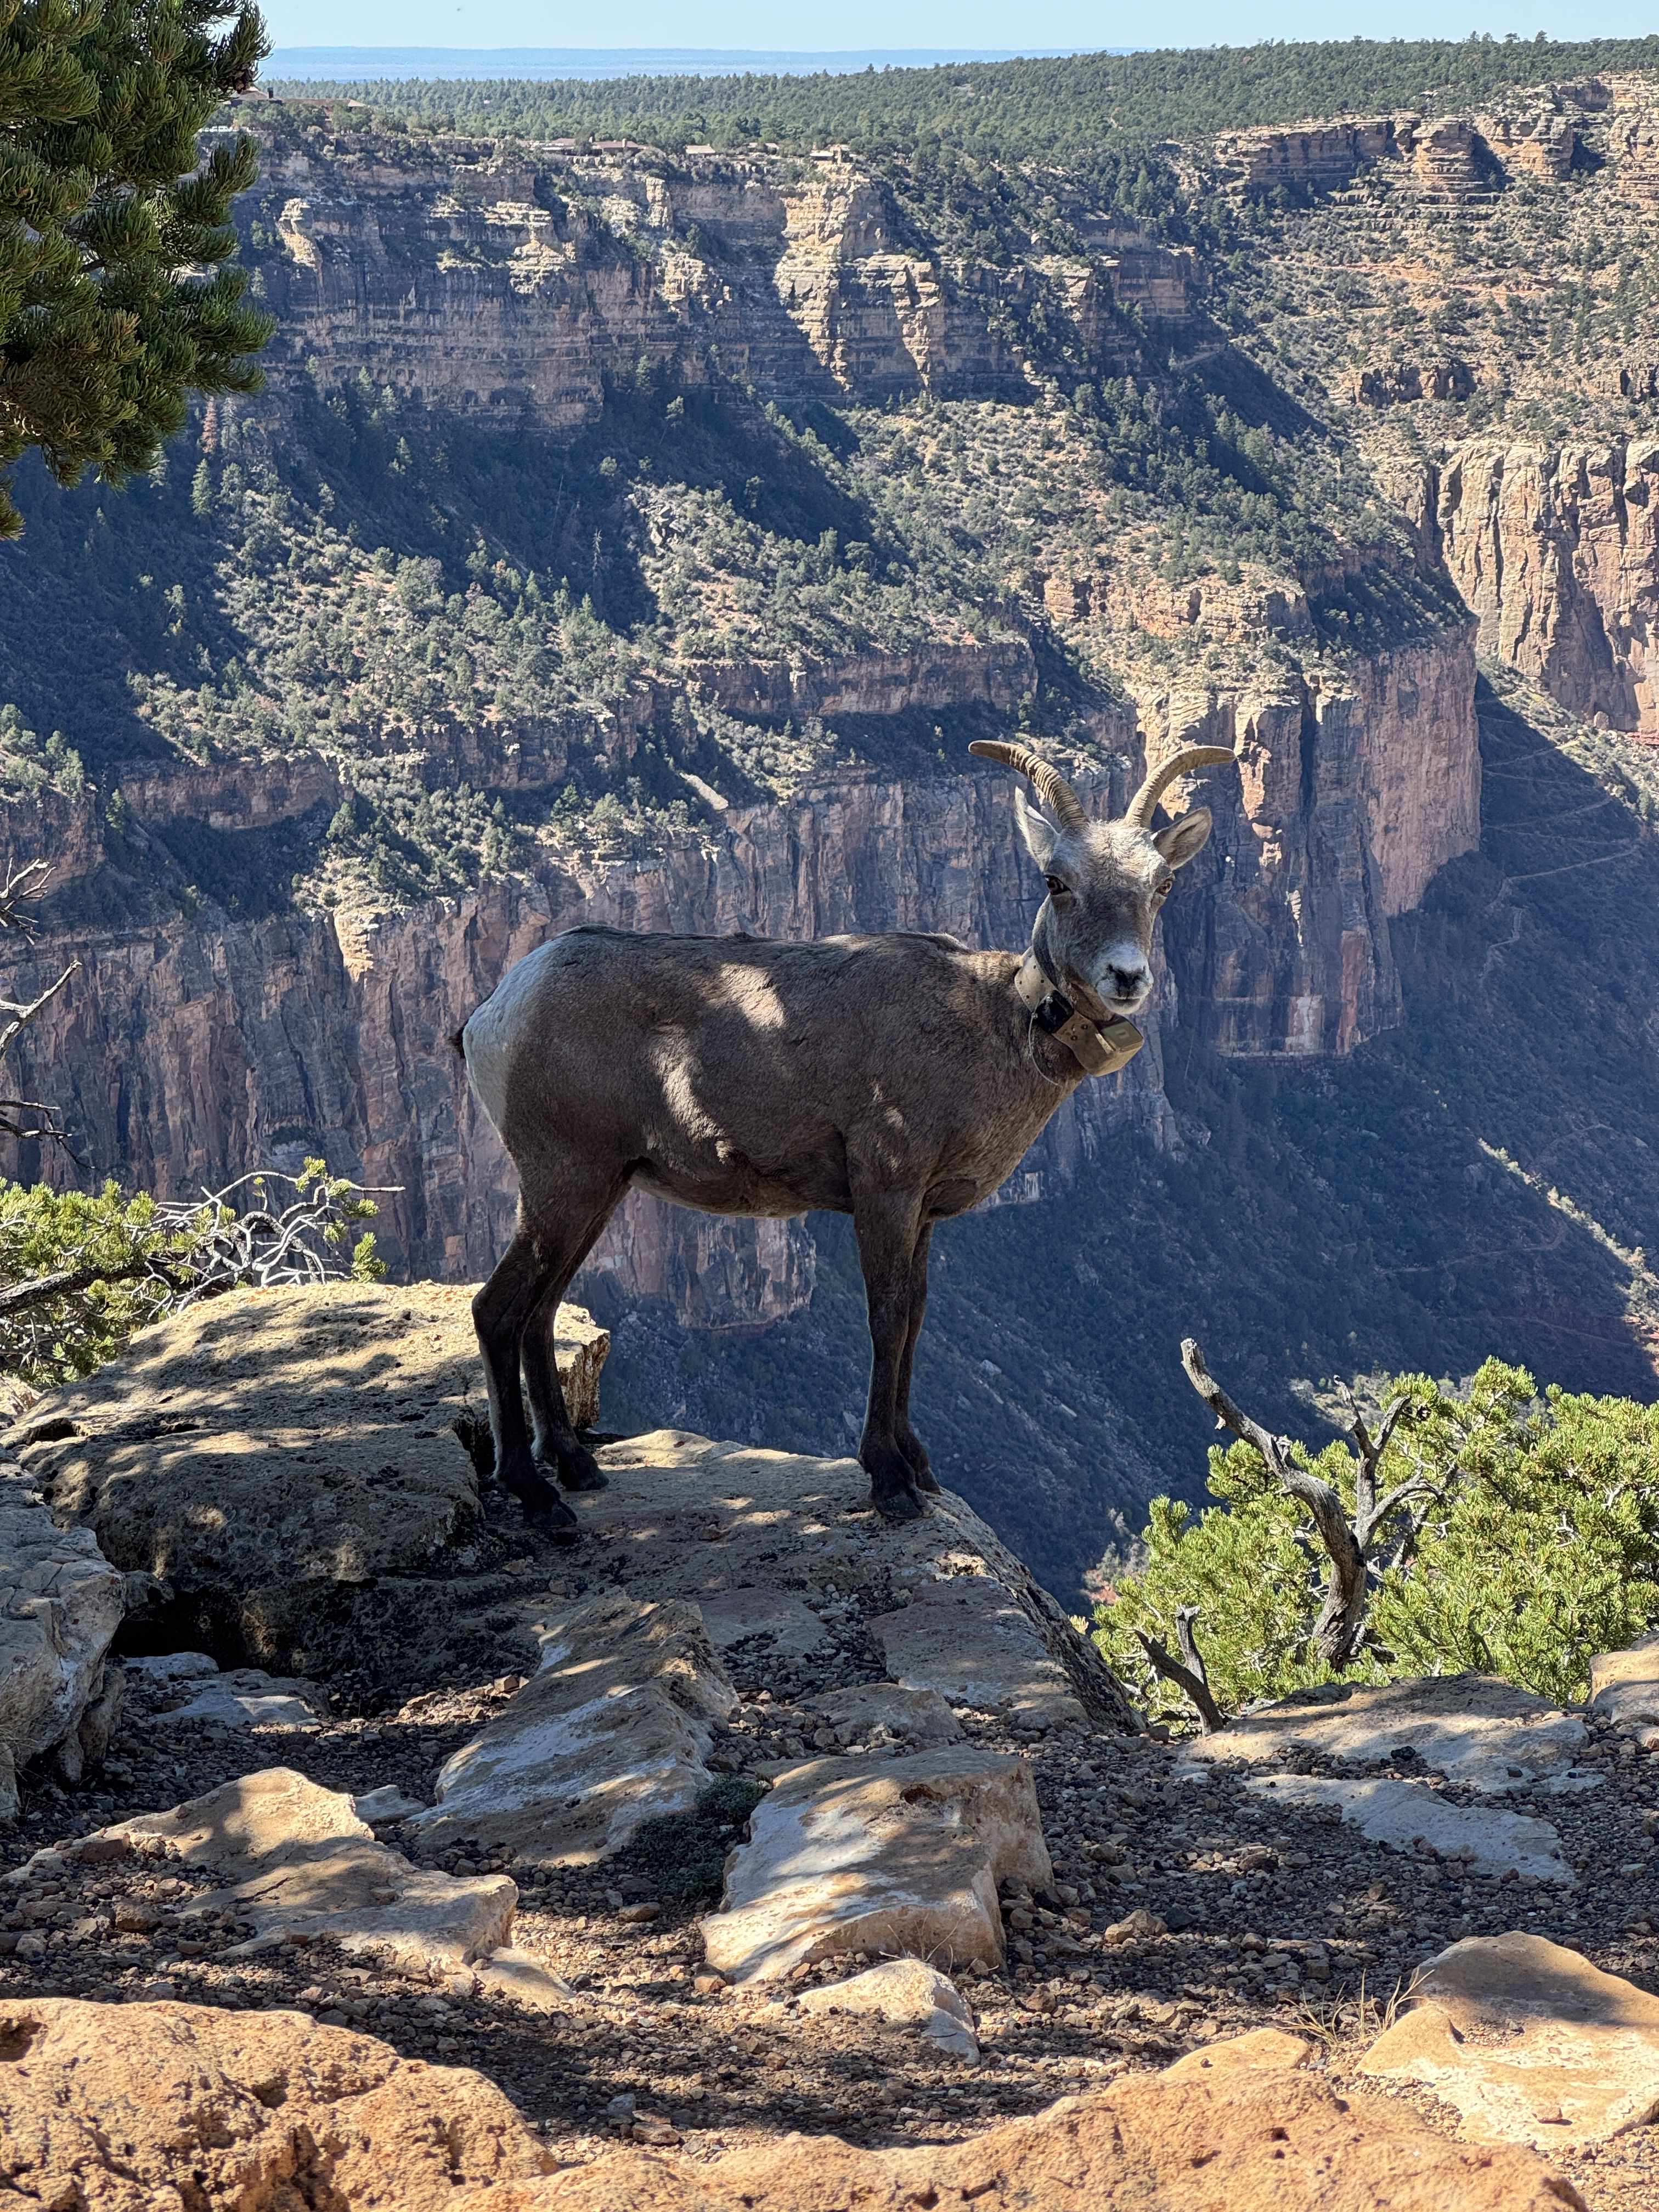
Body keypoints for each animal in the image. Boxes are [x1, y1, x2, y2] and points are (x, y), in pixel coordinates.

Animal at [457, 739, 1234, 1529]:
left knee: (540, 1312)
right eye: (1056, 880)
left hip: (597, 1191)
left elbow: (915, 1320)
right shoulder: (884, 1191)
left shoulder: (923, 1213)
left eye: (1163, 883)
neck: (988, 1025)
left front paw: (920, 1467)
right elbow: (887, 1320)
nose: (1126, 978)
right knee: (497, 1310)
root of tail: (497, 1011)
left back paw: (576, 1468)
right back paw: (533, 1492)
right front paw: (889, 1480)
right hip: (564, 1181)